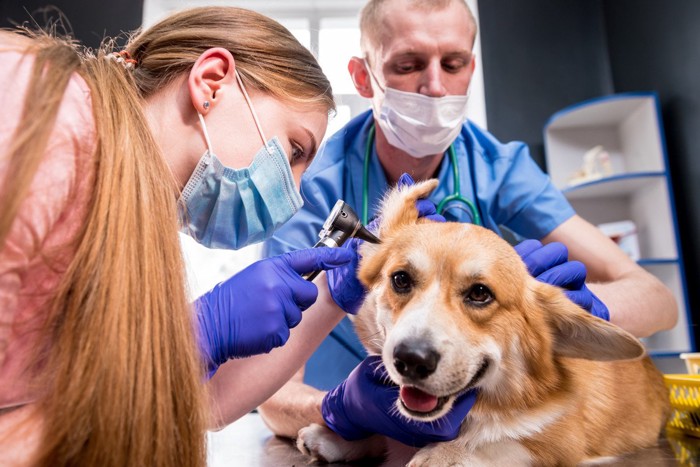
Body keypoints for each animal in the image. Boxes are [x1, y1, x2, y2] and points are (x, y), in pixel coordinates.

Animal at [298, 180, 668, 467]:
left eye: (480, 293)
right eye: (400, 279)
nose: (411, 360)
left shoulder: (558, 443)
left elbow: (499, 444)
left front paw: (443, 454)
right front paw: (337, 436)